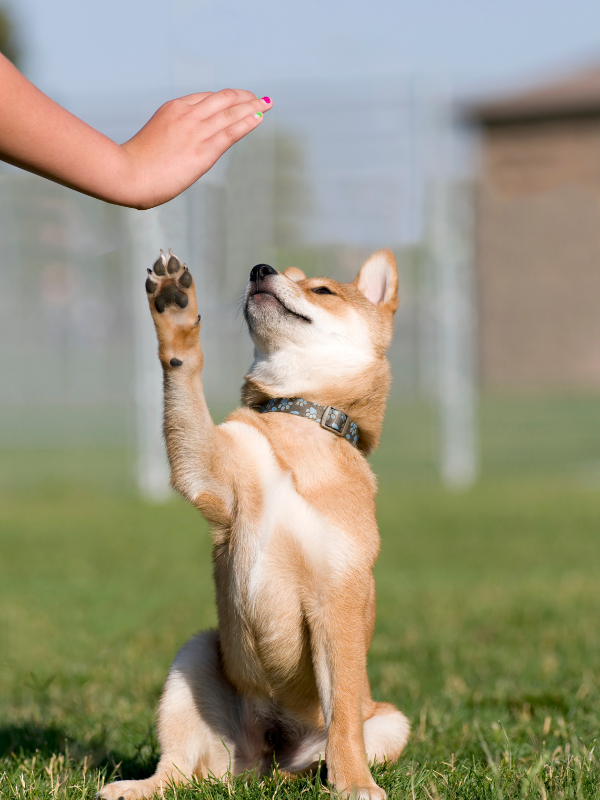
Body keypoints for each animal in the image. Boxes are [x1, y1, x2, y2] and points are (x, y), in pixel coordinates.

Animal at [99, 247, 408, 796]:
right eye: (284, 274)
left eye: (322, 290)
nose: (261, 270)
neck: (300, 421)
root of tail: (265, 753)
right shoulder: (209, 473)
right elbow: (186, 379)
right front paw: (175, 310)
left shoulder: (338, 598)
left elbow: (344, 716)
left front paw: (354, 783)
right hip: (196, 656)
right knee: (178, 769)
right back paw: (137, 787)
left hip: (392, 722)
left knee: (323, 748)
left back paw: (314, 774)